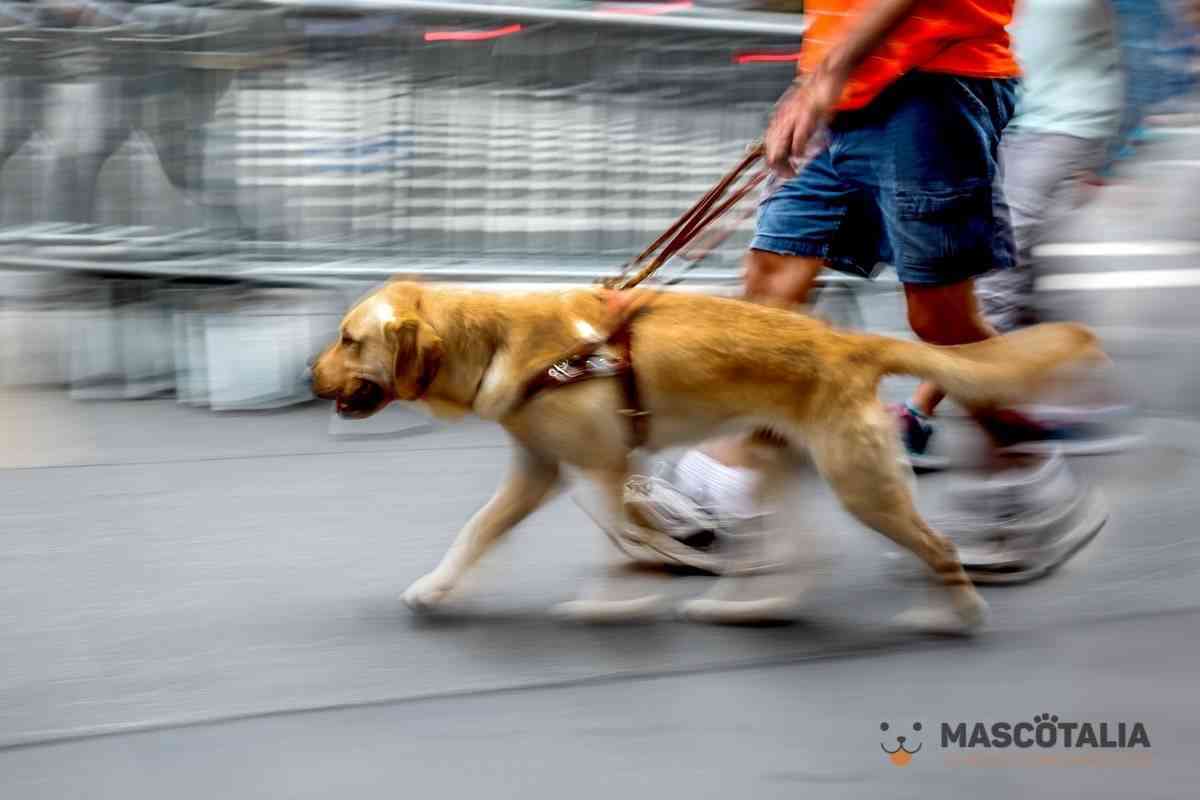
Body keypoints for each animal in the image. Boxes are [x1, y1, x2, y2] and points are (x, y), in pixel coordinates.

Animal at [312, 281, 1104, 633]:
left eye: (349, 339)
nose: (311, 379)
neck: (500, 339)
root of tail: (850, 343)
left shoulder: (604, 470)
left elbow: (624, 551)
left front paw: (617, 603)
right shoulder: (537, 475)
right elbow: (475, 532)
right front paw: (435, 589)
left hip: (862, 486)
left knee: (938, 546)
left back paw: (956, 615)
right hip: (783, 469)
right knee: (802, 558)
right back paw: (753, 607)